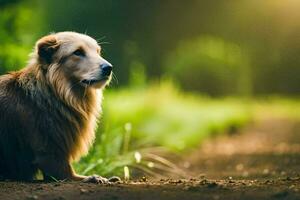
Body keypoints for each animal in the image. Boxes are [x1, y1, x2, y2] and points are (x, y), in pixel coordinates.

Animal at [0, 31, 119, 183]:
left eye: (98, 51)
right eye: (78, 52)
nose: (108, 68)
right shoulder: (48, 154)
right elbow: (70, 174)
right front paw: (95, 177)